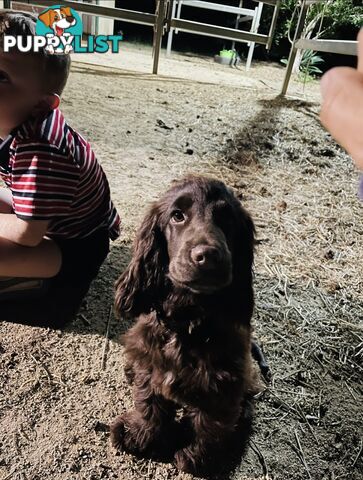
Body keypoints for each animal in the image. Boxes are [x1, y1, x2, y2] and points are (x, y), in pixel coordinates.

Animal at [111, 174, 258, 474]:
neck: (188, 320)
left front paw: (199, 460)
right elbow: (149, 403)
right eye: (177, 216)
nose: (208, 256)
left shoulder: (223, 382)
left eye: (226, 219)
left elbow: (210, 425)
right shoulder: (150, 361)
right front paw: (140, 436)